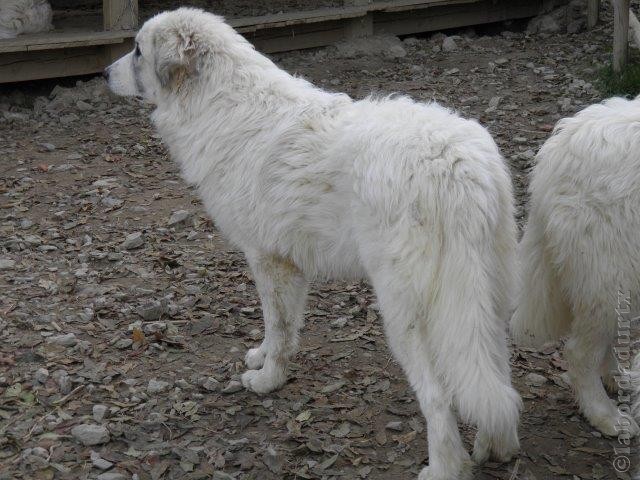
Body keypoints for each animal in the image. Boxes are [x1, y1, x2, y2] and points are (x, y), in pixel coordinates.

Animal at [105, 8, 524, 480]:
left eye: (138, 50)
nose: (103, 74)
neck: (216, 102)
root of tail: (457, 165)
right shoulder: (287, 264)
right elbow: (280, 328)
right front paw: (261, 358)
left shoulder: (267, 260)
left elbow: (279, 327)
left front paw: (268, 380)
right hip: (482, 300)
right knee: (494, 382)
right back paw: (495, 446)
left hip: (410, 313)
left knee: (439, 396)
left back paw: (445, 468)